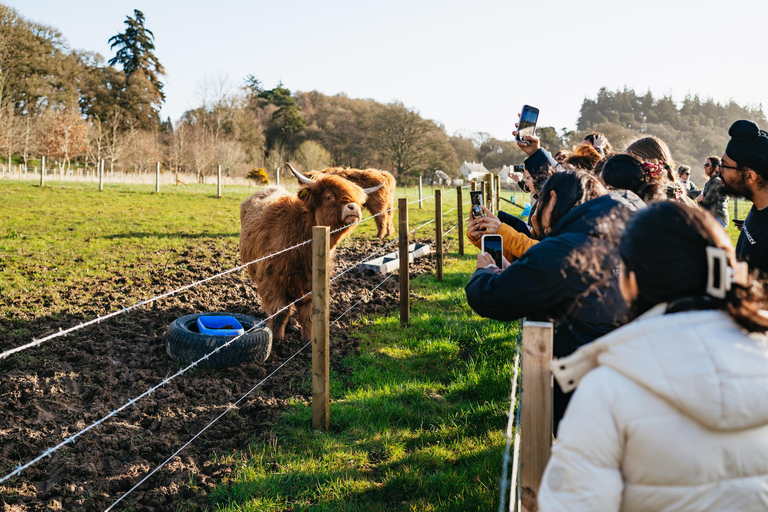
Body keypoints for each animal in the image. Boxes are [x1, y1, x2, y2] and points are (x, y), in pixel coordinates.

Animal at [242, 162, 382, 342]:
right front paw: (277, 339)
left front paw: (309, 340)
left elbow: (308, 314)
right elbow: (280, 312)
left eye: (358, 200)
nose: (354, 208)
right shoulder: (272, 280)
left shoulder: (310, 282)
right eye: (329, 197)